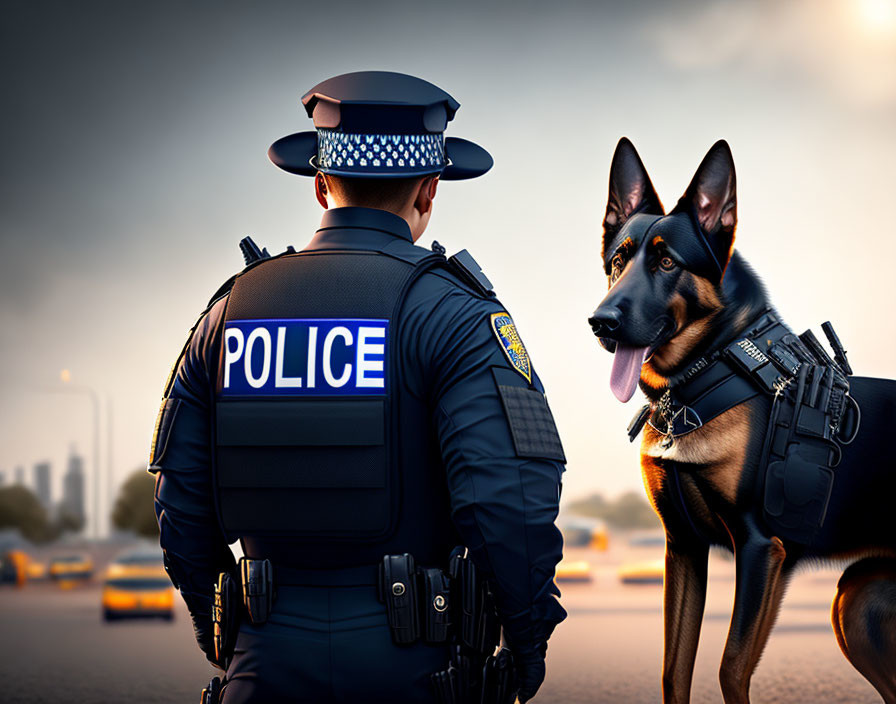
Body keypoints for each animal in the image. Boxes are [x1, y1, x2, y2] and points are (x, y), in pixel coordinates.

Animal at [588, 139, 896, 704]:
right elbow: (673, 670)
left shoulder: (759, 549)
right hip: (857, 605)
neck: (704, 379)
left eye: (667, 261)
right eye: (618, 260)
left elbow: (731, 667)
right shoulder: (683, 549)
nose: (601, 323)